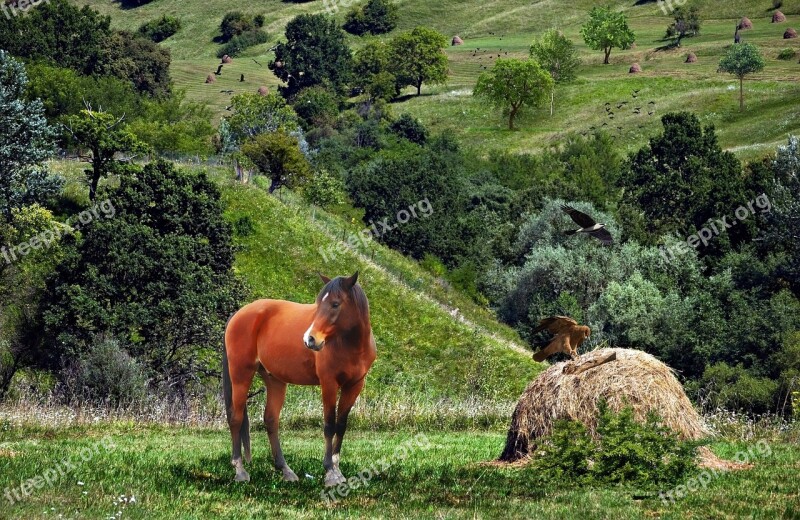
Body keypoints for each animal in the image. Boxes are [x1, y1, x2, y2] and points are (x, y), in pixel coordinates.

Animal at [222, 272, 378, 488]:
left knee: (271, 420)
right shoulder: (329, 384)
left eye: (335, 304)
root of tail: (238, 314)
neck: (349, 344)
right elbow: (329, 425)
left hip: (274, 380)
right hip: (240, 374)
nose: (309, 339)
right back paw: (240, 470)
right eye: (318, 304)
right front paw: (330, 472)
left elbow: (341, 425)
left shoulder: (354, 386)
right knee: (235, 417)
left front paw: (337, 470)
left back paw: (286, 470)